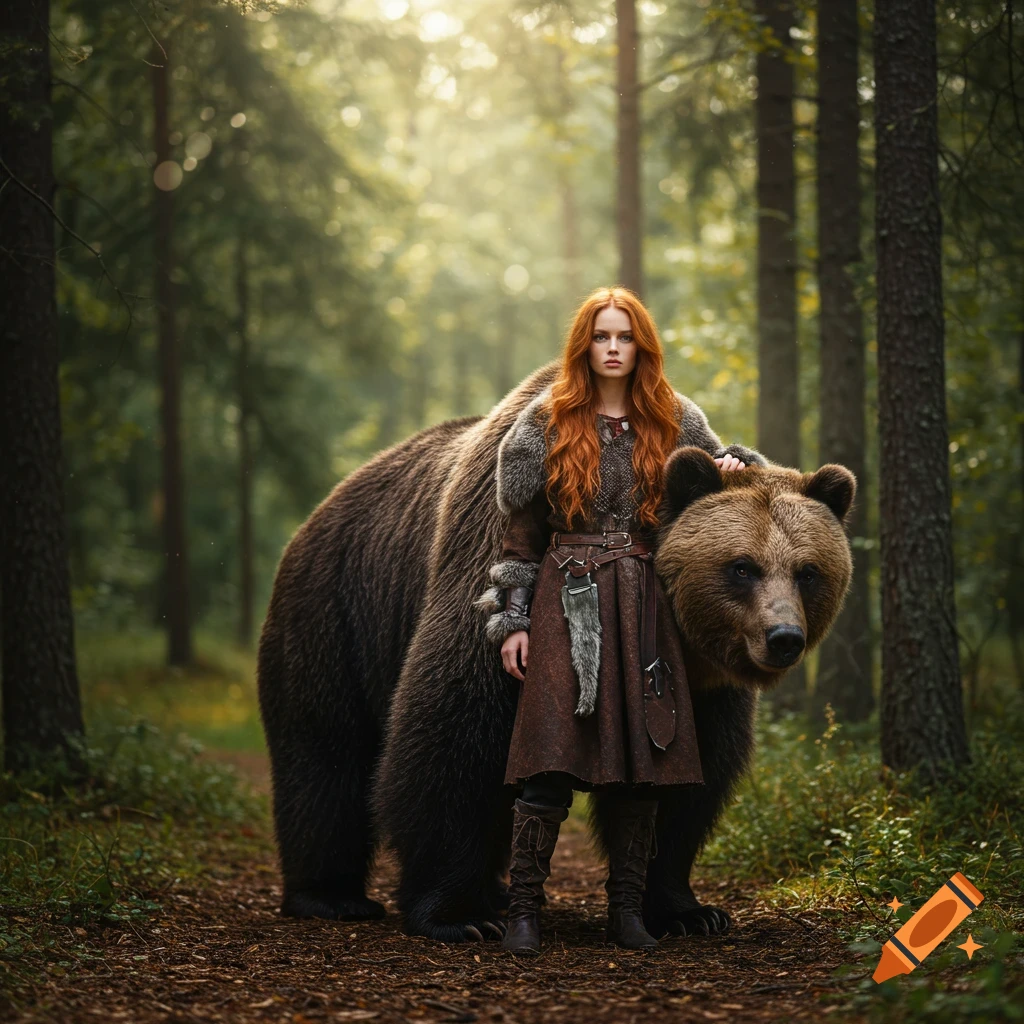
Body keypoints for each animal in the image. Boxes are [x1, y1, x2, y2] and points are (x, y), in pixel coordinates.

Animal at [256, 360, 855, 940]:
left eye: (807, 572)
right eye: (742, 568)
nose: (783, 638)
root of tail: (320, 510)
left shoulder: (700, 688)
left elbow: (689, 781)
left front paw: (686, 910)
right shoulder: (485, 577)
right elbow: (451, 740)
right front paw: (456, 915)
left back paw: (493, 890)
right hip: (335, 611)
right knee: (325, 752)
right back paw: (333, 895)